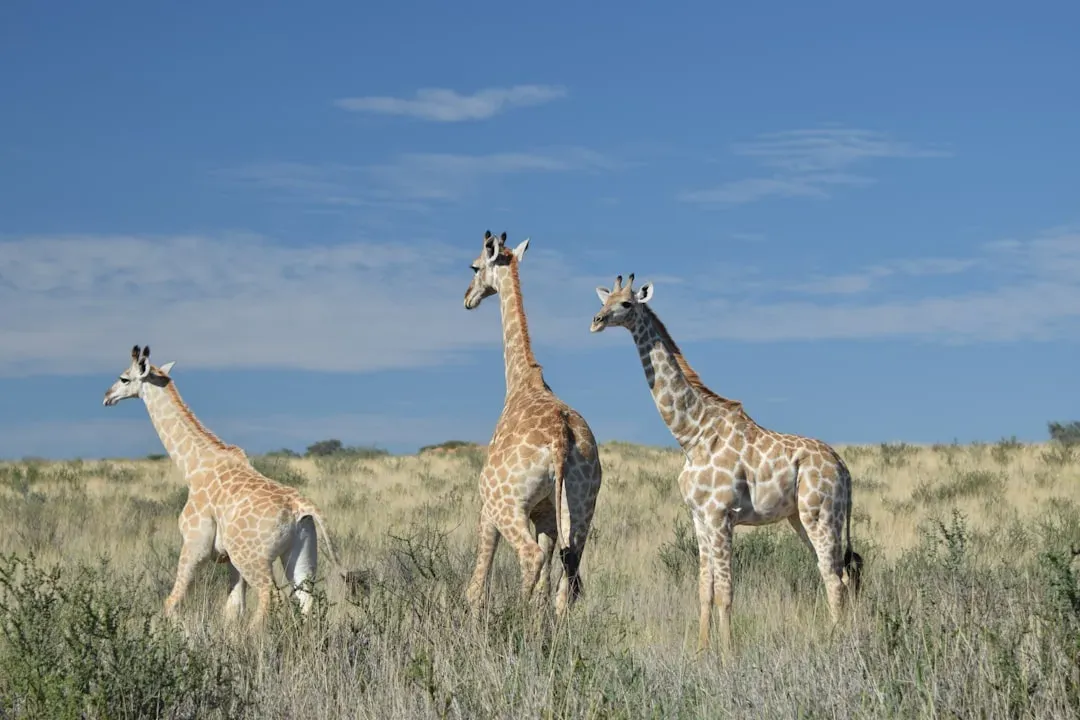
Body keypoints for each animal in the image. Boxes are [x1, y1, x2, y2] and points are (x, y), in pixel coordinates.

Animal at [102, 344, 343, 629]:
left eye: (124, 378)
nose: (107, 397)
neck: (193, 468)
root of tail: (301, 508)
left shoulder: (195, 543)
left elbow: (172, 602)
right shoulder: (229, 559)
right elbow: (233, 608)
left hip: (252, 557)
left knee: (271, 597)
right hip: (301, 552)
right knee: (305, 600)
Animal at [462, 230, 603, 617]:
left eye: (474, 267)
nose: (467, 298)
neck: (520, 381)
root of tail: (560, 438)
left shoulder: (487, 507)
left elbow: (476, 584)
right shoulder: (545, 514)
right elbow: (546, 586)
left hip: (507, 503)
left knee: (530, 557)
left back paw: (512, 618)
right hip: (581, 505)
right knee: (566, 579)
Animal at [590, 274, 862, 653]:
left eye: (626, 303)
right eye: (604, 299)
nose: (596, 321)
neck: (692, 435)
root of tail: (843, 468)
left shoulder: (722, 515)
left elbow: (726, 592)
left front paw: (728, 654)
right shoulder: (699, 517)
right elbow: (704, 589)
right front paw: (701, 650)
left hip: (820, 513)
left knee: (835, 577)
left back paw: (837, 643)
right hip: (802, 518)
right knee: (838, 574)